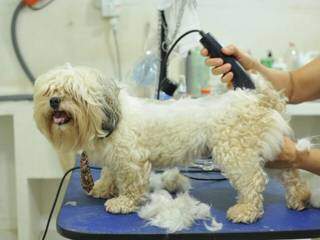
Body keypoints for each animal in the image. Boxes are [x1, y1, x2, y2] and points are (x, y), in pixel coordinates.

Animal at [33, 65, 310, 223]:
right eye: (49, 92)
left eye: (72, 93)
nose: (55, 101)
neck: (114, 117)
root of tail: (258, 98)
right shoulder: (115, 159)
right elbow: (110, 174)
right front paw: (103, 188)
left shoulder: (132, 162)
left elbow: (131, 187)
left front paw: (123, 203)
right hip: (269, 150)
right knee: (291, 174)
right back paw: (300, 198)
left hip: (236, 153)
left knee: (253, 181)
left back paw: (246, 211)